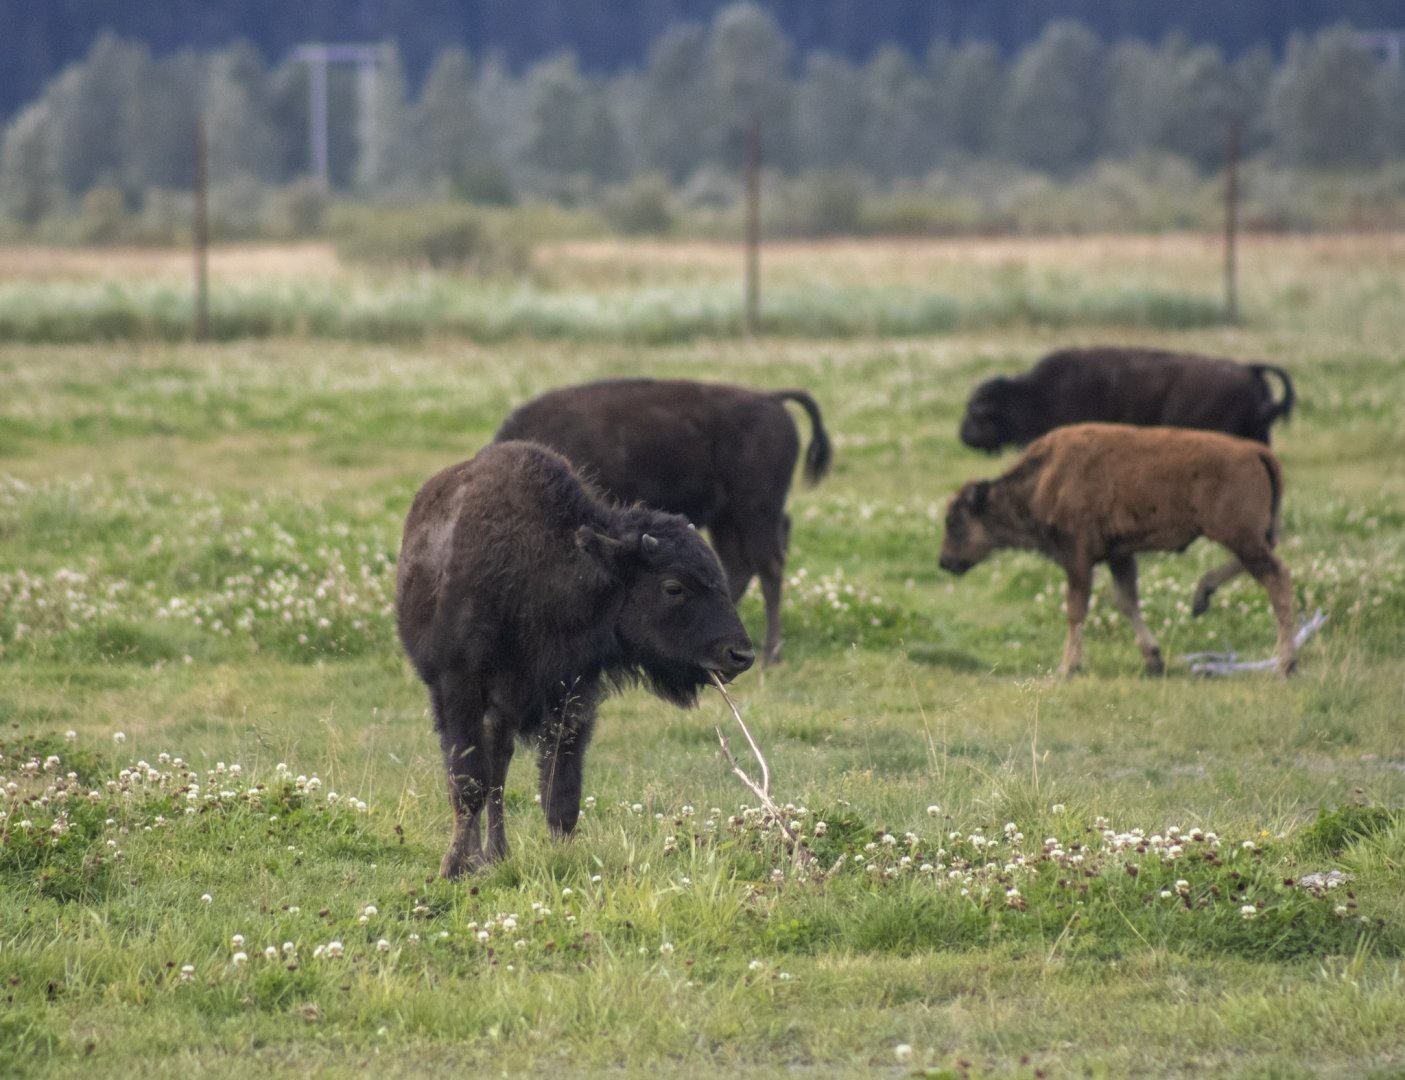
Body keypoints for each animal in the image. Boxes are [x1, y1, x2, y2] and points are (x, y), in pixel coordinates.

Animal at [396, 441, 755, 877]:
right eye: (673, 586)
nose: (739, 653)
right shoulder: (458, 687)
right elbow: (467, 783)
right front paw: (452, 868)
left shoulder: (571, 698)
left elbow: (560, 793)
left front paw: (561, 857)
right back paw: (480, 858)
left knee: (498, 765)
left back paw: (496, 854)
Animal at [494, 378, 833, 665]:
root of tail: (770, 397)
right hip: (727, 519)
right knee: (739, 567)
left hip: (757, 511)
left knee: (769, 568)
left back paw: (770, 656)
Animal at [939, 423, 1297, 678]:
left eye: (955, 521)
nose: (945, 561)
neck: (1044, 479)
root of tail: (1256, 451)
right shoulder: (1119, 555)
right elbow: (1126, 601)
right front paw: (1153, 660)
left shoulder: (1078, 558)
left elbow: (1076, 610)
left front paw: (1067, 668)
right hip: (1250, 536)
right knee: (1259, 565)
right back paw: (1201, 597)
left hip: (1239, 536)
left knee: (1277, 579)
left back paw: (1285, 664)